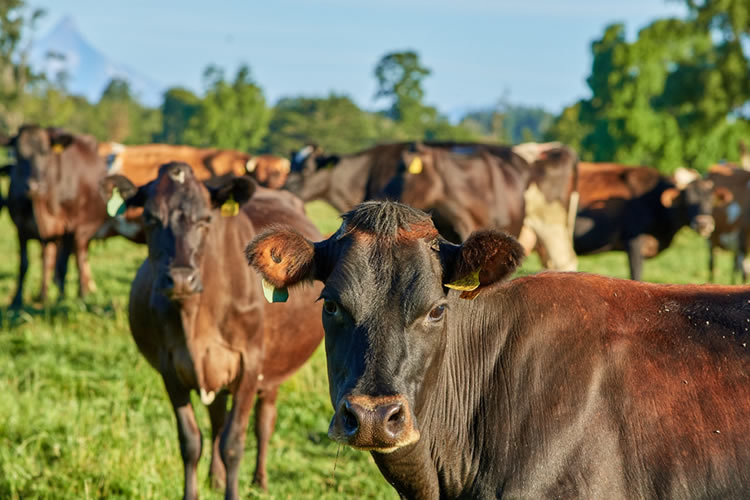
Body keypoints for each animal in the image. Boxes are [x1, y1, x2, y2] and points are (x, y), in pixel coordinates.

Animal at [103, 162, 324, 498]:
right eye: (150, 218)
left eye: (205, 219)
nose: (181, 279)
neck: (196, 319)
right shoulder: (170, 368)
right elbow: (191, 441)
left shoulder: (250, 365)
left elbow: (233, 444)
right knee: (217, 420)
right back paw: (216, 477)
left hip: (275, 367)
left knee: (264, 422)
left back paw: (260, 480)